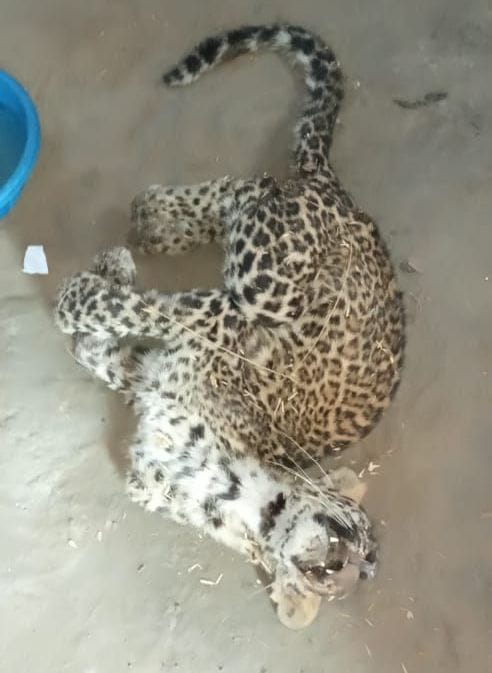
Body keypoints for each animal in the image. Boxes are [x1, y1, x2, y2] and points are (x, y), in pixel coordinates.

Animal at [54, 24, 405, 629]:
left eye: (342, 576)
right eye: (357, 539)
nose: (341, 556)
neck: (235, 490)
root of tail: (347, 202)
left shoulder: (155, 376)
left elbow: (106, 346)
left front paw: (81, 302)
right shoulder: (208, 331)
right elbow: (132, 309)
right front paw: (97, 280)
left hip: (257, 277)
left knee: (244, 195)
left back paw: (151, 224)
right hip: (264, 286)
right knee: (244, 187)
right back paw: (153, 220)